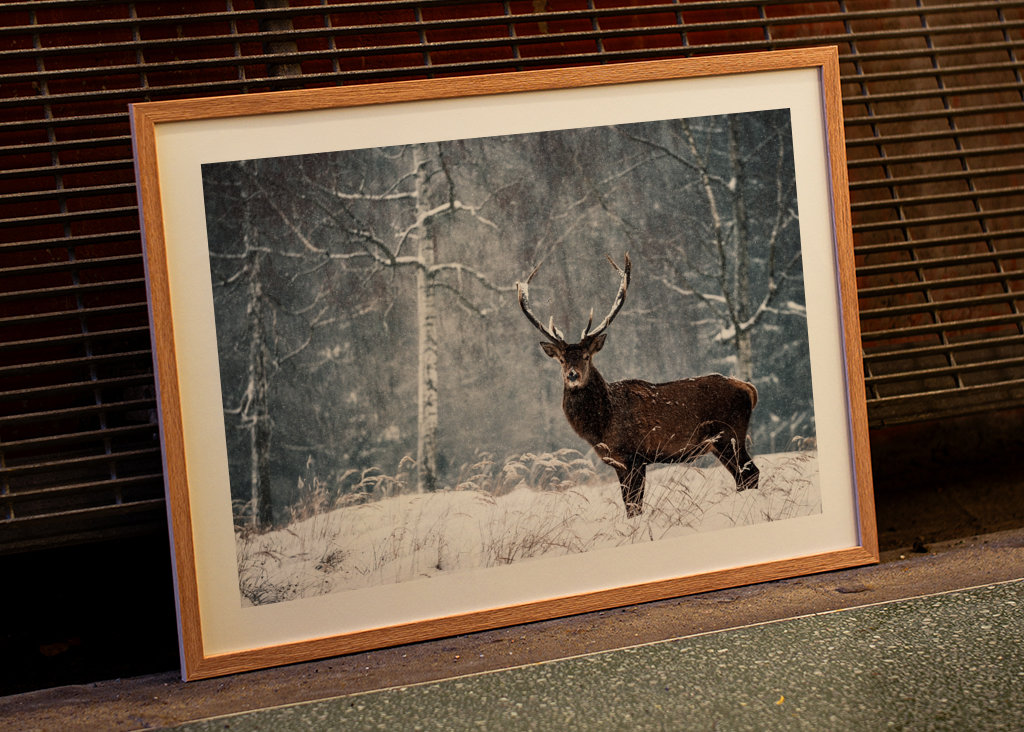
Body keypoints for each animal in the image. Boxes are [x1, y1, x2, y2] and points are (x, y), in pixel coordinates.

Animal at [516, 253, 759, 517]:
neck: (602, 424)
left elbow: (634, 505)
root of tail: (749, 389)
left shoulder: (633, 455)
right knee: (744, 477)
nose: (572, 375)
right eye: (561, 360)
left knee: (750, 474)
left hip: (729, 434)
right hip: (723, 442)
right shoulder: (618, 461)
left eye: (586, 357)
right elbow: (629, 504)